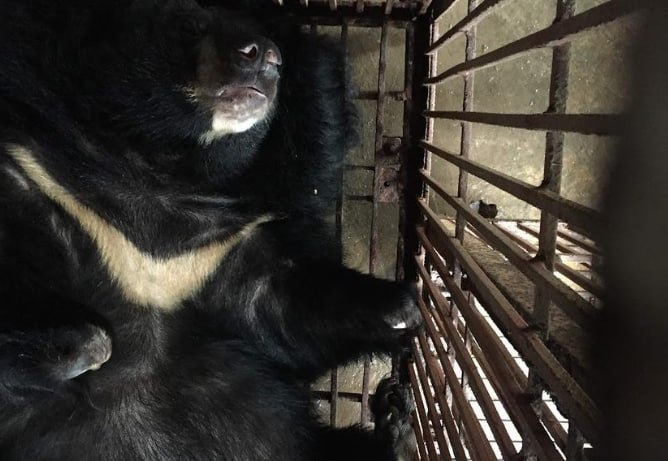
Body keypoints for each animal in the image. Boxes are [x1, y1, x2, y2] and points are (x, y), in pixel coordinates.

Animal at [0, 1, 420, 460]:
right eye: (187, 24)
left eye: (283, 65)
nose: (266, 56)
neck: (162, 173)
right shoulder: (39, 174)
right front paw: (82, 346)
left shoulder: (220, 250)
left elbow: (285, 308)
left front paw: (403, 310)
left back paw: (395, 426)